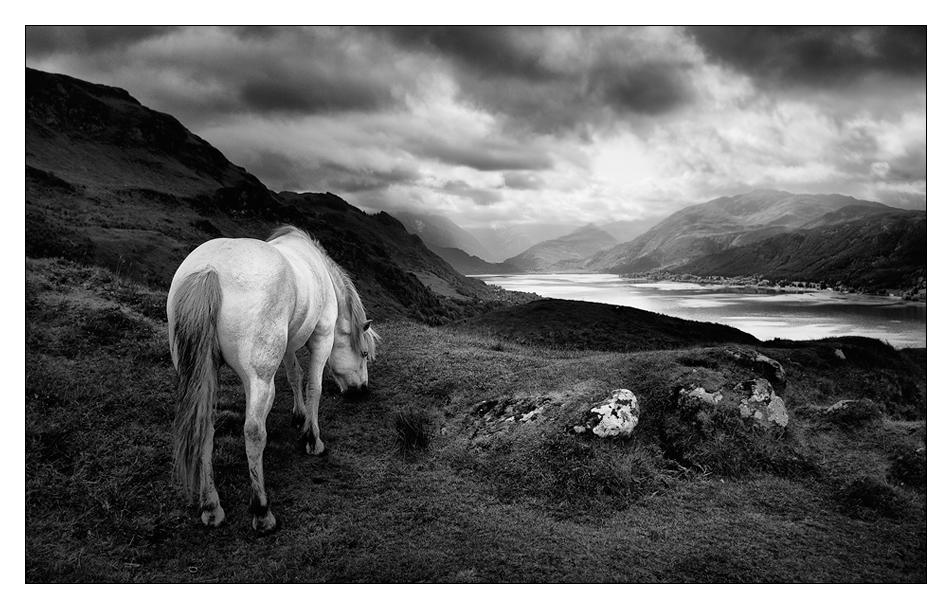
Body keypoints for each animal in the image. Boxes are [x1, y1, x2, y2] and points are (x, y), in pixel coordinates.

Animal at [167, 226, 380, 528]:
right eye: (363, 353)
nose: (361, 389)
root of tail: (210, 270)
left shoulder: (290, 342)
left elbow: (294, 375)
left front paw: (299, 416)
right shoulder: (322, 337)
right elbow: (314, 387)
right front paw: (312, 439)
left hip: (202, 375)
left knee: (204, 428)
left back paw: (211, 506)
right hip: (259, 381)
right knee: (254, 431)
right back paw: (262, 509)